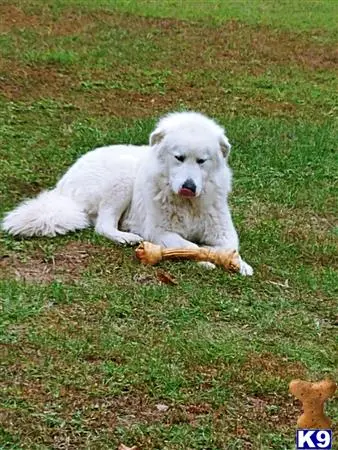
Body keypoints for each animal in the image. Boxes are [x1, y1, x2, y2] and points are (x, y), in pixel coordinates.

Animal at [1, 110, 252, 276]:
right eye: (179, 157)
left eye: (201, 161)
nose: (188, 187)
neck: (187, 204)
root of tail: (62, 188)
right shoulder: (159, 231)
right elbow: (190, 247)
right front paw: (205, 259)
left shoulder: (223, 231)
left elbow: (229, 248)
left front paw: (238, 263)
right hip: (122, 178)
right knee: (103, 225)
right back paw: (125, 237)